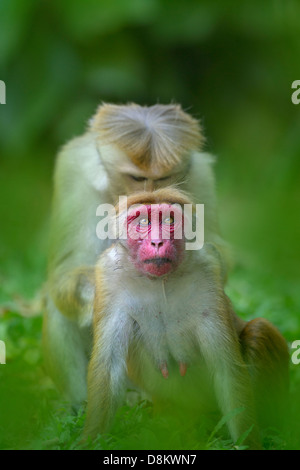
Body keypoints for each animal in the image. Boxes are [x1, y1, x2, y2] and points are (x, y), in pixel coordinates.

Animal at [42, 103, 227, 408]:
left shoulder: (201, 173)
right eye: (137, 178)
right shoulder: (75, 173)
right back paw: (80, 405)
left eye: (162, 178)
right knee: (60, 305)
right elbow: (67, 271)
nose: (151, 201)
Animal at [82, 187, 290, 448]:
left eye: (169, 221)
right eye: (143, 222)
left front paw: (247, 443)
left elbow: (227, 369)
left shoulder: (208, 268)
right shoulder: (108, 274)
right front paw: (88, 440)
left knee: (259, 330)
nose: (157, 242)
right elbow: (108, 369)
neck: (160, 280)